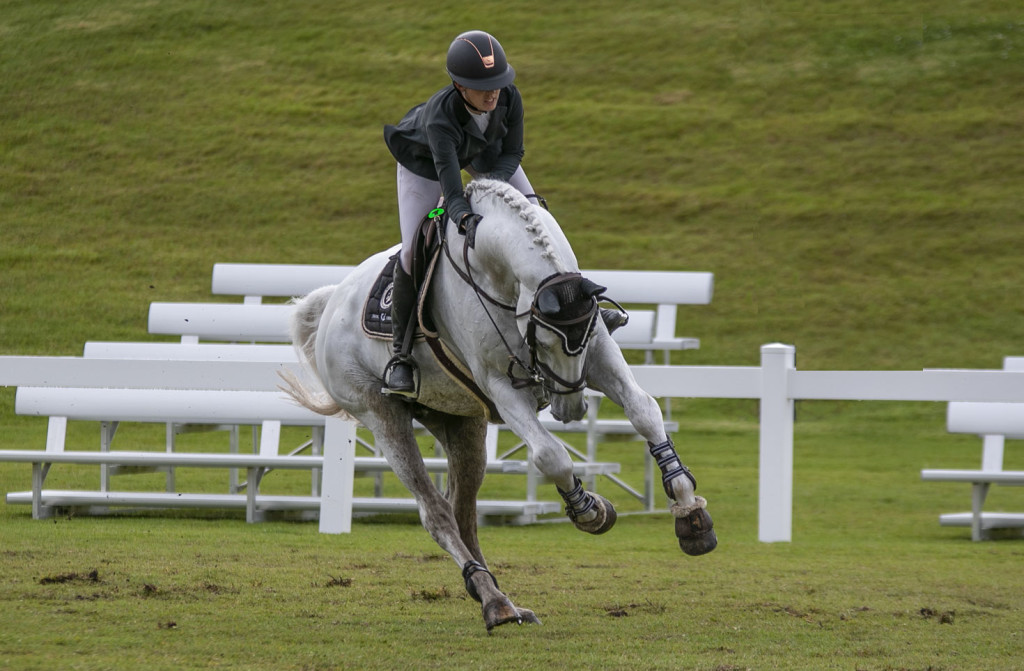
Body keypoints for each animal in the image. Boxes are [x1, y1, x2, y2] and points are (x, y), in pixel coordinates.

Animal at [284, 178, 716, 631]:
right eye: (542, 340)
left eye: (578, 337)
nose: (570, 409)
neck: (499, 275)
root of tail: (331, 303)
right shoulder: (501, 385)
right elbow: (550, 455)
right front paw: (590, 511)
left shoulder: (598, 352)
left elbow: (644, 410)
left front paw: (690, 515)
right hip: (382, 416)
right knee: (436, 513)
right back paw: (495, 602)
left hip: (460, 421)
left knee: (463, 512)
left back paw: (496, 596)